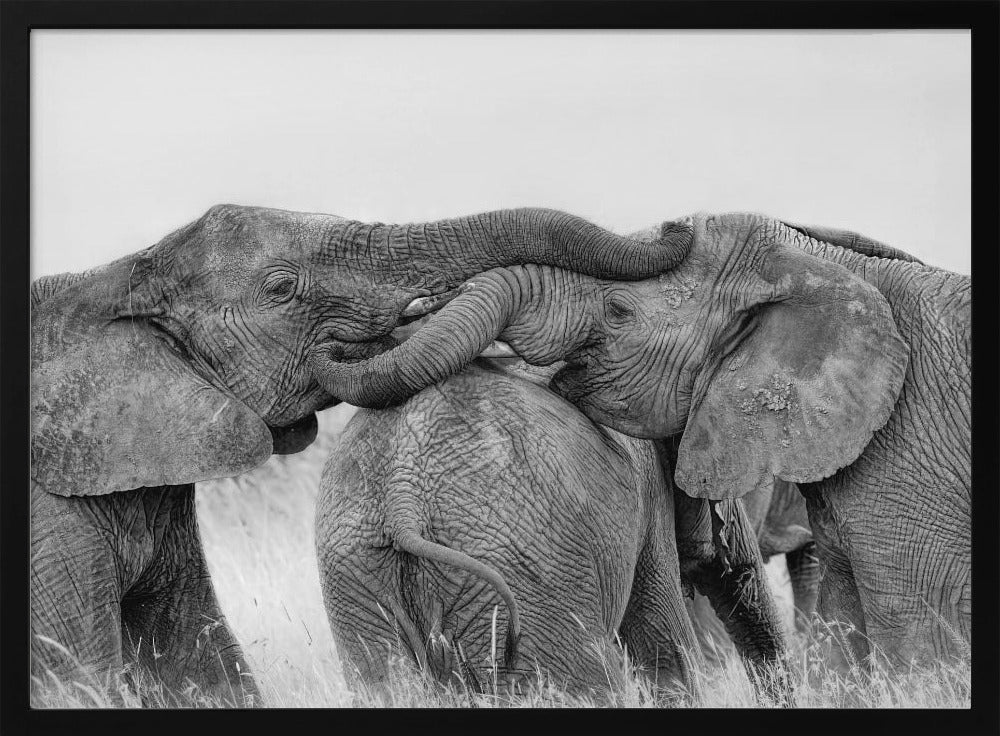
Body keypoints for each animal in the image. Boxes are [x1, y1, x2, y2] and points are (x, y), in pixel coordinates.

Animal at [30, 204, 691, 706]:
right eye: (280, 289)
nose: (676, 227)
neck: (111, 279)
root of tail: (403, 493)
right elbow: (78, 677)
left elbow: (197, 658)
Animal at [316, 358, 789, 700]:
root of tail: (403, 496)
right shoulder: (648, 499)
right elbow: (665, 651)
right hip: (525, 571)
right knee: (588, 686)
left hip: (354, 577)